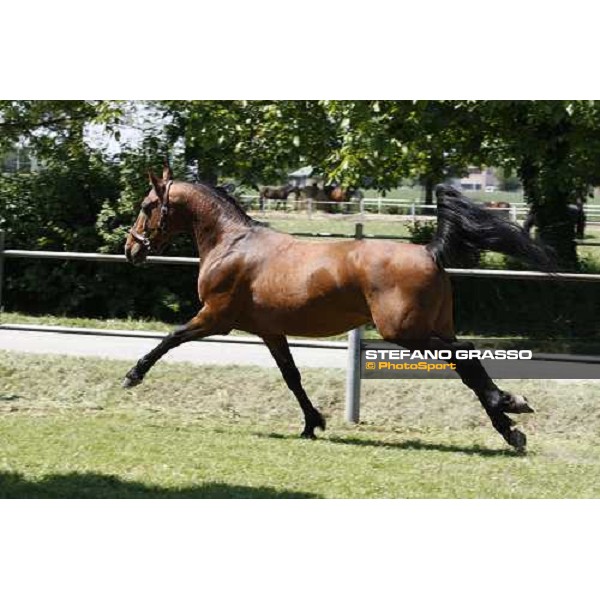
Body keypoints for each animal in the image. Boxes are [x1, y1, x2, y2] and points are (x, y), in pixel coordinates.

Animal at [123, 168, 552, 450]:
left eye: (147, 205)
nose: (131, 249)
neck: (232, 245)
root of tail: (429, 251)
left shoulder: (215, 317)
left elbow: (171, 338)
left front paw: (133, 376)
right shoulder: (270, 331)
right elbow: (292, 376)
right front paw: (312, 423)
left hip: (405, 332)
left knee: (463, 359)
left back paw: (508, 406)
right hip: (436, 327)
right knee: (467, 363)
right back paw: (509, 427)